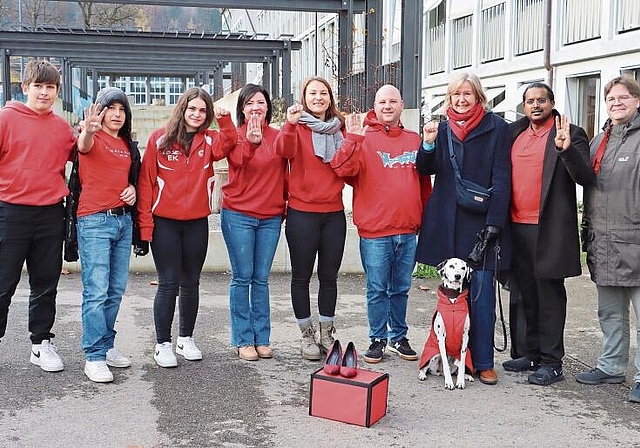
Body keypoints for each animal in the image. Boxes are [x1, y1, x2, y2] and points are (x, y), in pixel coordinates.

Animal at [418, 258, 472, 390]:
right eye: (451, 266)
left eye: (463, 268)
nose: (457, 276)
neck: (453, 300)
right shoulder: (441, 338)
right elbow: (446, 364)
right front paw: (449, 382)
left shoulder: (465, 338)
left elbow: (462, 363)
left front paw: (460, 381)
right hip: (434, 355)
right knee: (425, 367)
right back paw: (422, 374)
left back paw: (467, 376)